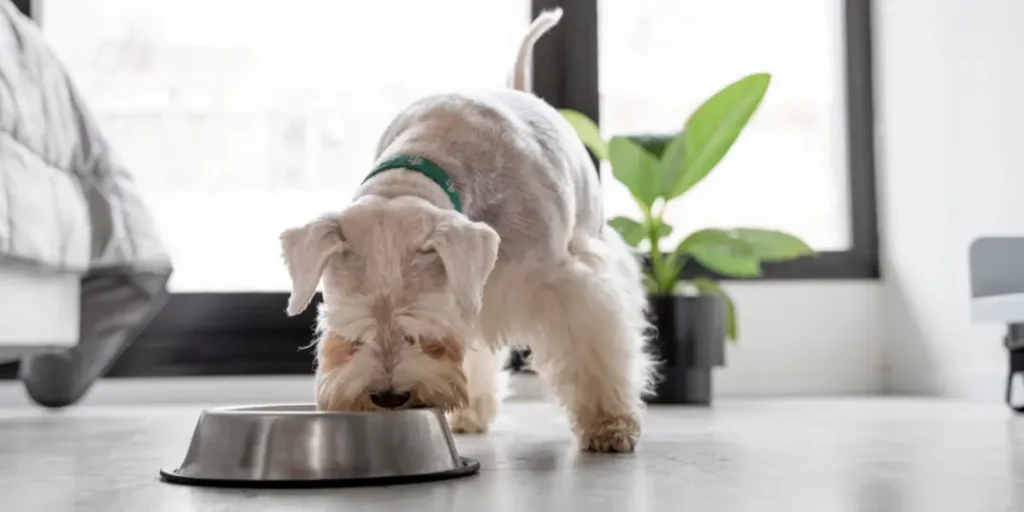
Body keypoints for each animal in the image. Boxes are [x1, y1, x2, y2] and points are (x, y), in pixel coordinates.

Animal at [278, 9, 655, 452]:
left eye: (423, 328)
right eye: (351, 330)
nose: (389, 396)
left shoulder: (565, 285)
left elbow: (591, 347)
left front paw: (609, 425)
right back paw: (470, 413)